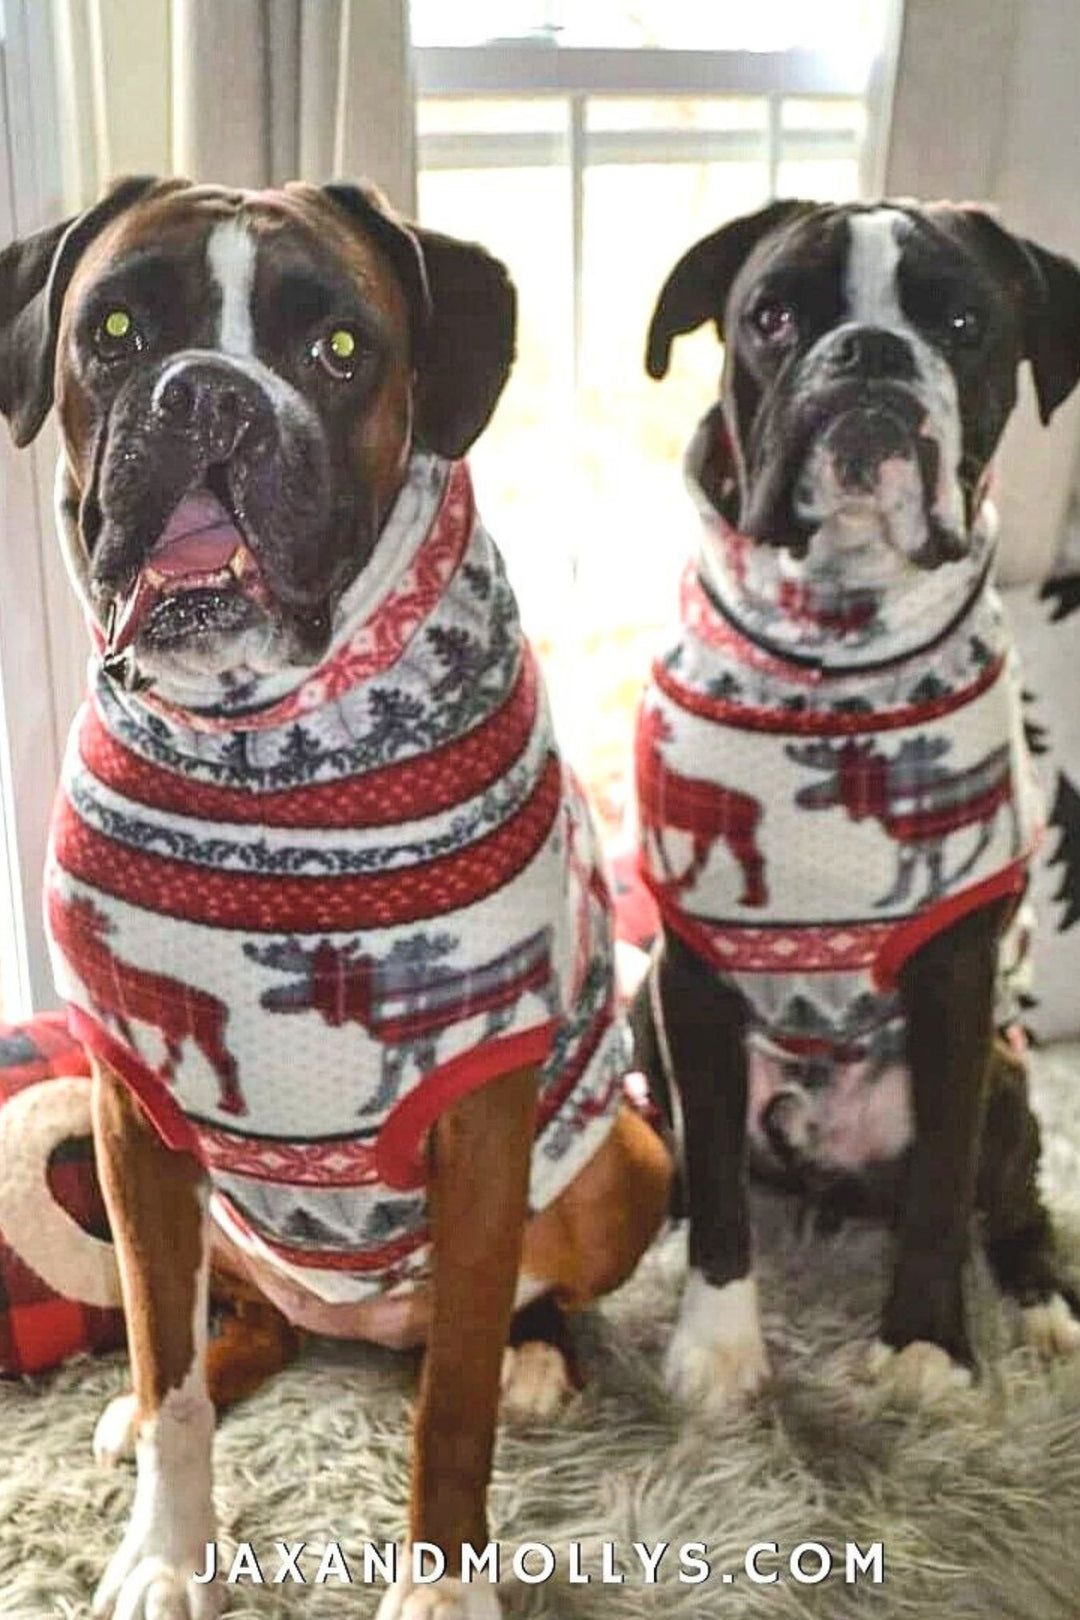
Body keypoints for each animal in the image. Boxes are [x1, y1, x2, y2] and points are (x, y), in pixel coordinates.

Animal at [0, 170, 670, 1613]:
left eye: (341, 348)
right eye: (117, 329)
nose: (208, 395)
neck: (261, 753)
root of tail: (356, 1321)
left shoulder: (479, 1123)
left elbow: (451, 1403)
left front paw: (443, 1579)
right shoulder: (135, 1118)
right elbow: (168, 1370)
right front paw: (165, 1549)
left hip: (625, 1165)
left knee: (508, 1310)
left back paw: (544, 1356)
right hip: (222, 1218)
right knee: (231, 1331)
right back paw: (169, 1396)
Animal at [634, 196, 1080, 1412]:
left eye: (964, 322)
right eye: (773, 315)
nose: (873, 355)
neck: (833, 651)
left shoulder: (957, 985)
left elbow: (938, 1190)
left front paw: (927, 1341)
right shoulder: (689, 979)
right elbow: (719, 1191)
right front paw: (717, 1342)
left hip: (1006, 1078)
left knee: (1013, 1204)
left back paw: (1044, 1308)